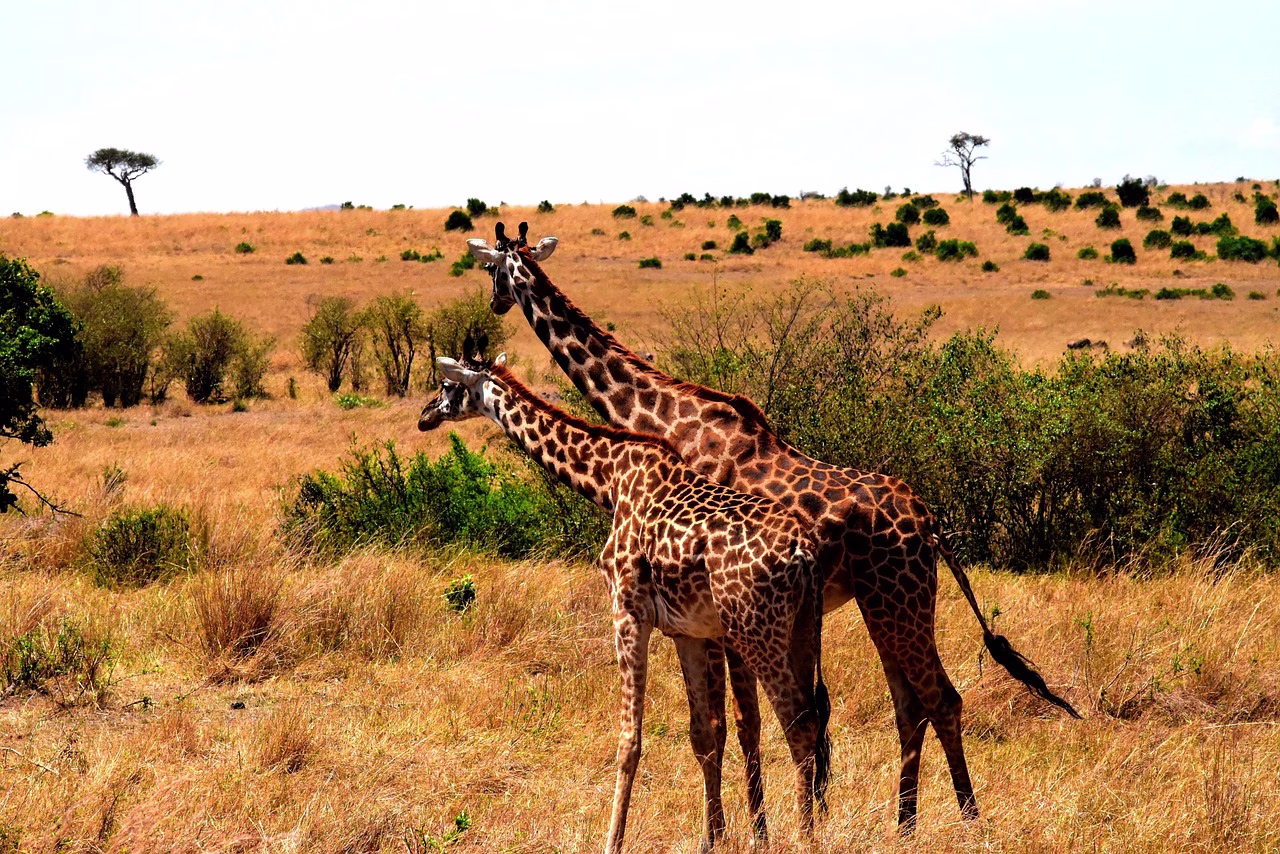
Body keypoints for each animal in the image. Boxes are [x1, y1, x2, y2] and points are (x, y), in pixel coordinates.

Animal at [418, 355, 831, 854]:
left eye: (447, 386)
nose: (424, 416)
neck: (611, 479)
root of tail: (805, 551)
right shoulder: (685, 631)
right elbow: (702, 735)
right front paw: (709, 839)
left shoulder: (627, 611)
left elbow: (628, 740)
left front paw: (611, 841)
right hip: (800, 630)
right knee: (813, 717)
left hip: (756, 629)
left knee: (798, 723)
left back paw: (807, 837)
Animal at [465, 222, 1081, 832]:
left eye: (491, 269)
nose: (494, 304)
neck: (666, 419)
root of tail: (929, 523)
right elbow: (756, 722)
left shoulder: (716, 614)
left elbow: (739, 725)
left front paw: (757, 829)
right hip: (886, 606)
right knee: (910, 706)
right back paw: (903, 826)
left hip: (895, 603)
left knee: (940, 700)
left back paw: (968, 821)